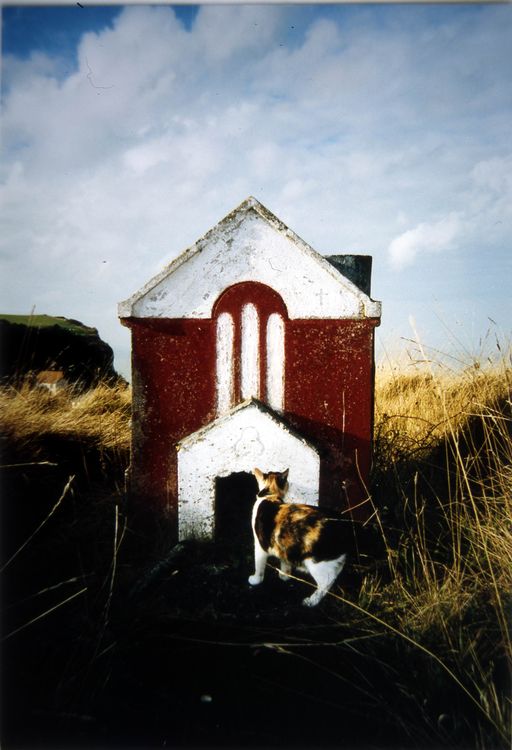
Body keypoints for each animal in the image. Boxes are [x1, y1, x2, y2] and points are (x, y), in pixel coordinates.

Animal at [249, 470, 352, 612]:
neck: (271, 495)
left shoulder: (260, 546)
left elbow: (259, 566)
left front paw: (255, 580)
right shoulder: (283, 546)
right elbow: (285, 562)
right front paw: (284, 576)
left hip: (316, 563)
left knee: (326, 582)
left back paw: (311, 601)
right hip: (334, 560)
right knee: (336, 573)